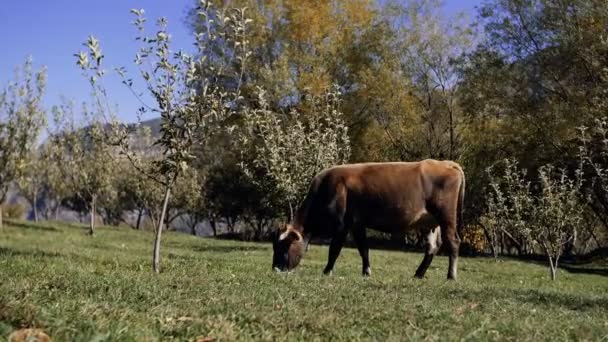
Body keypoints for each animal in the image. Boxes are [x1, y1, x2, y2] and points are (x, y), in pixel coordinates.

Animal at [270, 159, 466, 280]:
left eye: (284, 246)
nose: (275, 269)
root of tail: (445, 163)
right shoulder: (358, 224)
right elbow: (364, 249)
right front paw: (366, 272)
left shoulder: (343, 225)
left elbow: (335, 249)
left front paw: (327, 271)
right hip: (430, 222)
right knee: (432, 247)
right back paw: (418, 274)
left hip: (446, 216)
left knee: (453, 241)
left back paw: (451, 275)